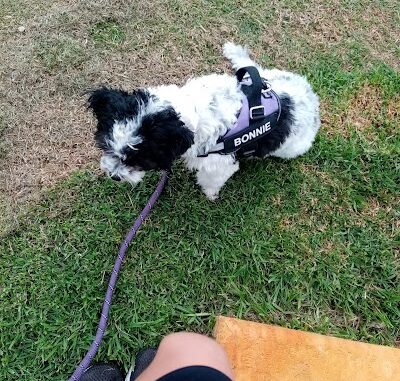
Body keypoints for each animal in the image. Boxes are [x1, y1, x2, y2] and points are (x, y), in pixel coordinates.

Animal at [87, 42, 318, 199]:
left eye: (139, 159)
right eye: (105, 147)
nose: (114, 176)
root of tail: (313, 100)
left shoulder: (219, 163)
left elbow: (211, 180)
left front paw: (210, 194)